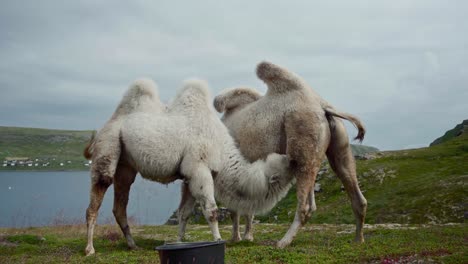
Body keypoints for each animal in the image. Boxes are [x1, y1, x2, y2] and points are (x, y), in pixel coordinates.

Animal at [82, 77, 290, 255]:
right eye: (286, 169)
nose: (294, 160)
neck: (222, 148)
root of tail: (105, 127)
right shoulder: (199, 168)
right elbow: (211, 210)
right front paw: (217, 240)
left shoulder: (190, 175)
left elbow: (185, 213)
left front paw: (180, 242)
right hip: (107, 147)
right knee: (97, 196)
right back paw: (90, 249)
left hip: (125, 165)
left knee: (120, 205)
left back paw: (132, 245)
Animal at [214, 61, 368, 248]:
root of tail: (323, 106)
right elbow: (246, 206)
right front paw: (246, 236)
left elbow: (235, 207)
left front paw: (237, 237)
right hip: (338, 142)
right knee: (351, 185)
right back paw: (358, 239)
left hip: (303, 135)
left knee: (305, 204)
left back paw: (283, 242)